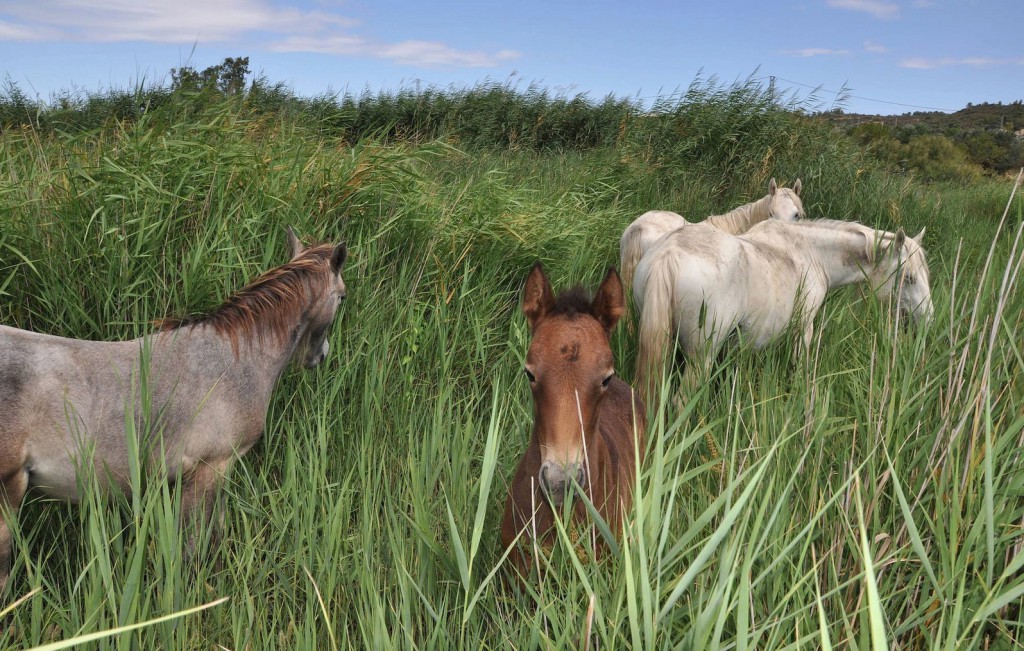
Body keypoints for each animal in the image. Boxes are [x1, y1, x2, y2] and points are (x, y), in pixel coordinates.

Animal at [634, 219, 933, 401]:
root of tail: (668, 255)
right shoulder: (804, 329)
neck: (812, 252)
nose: (928, 319)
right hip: (701, 359)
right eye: (908, 278)